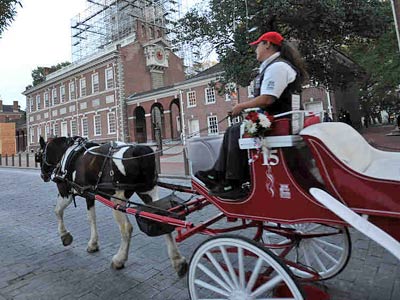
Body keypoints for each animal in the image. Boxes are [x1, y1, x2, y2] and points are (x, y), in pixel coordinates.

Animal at [36, 137, 188, 276]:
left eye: (40, 155)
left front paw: (65, 236)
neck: (66, 153)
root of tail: (137, 150)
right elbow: (91, 218)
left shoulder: (65, 191)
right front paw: (93, 244)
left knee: (126, 228)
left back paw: (119, 260)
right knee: (161, 217)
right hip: (148, 192)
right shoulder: (89, 195)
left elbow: (58, 211)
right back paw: (178, 261)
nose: (43, 175)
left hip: (118, 200)